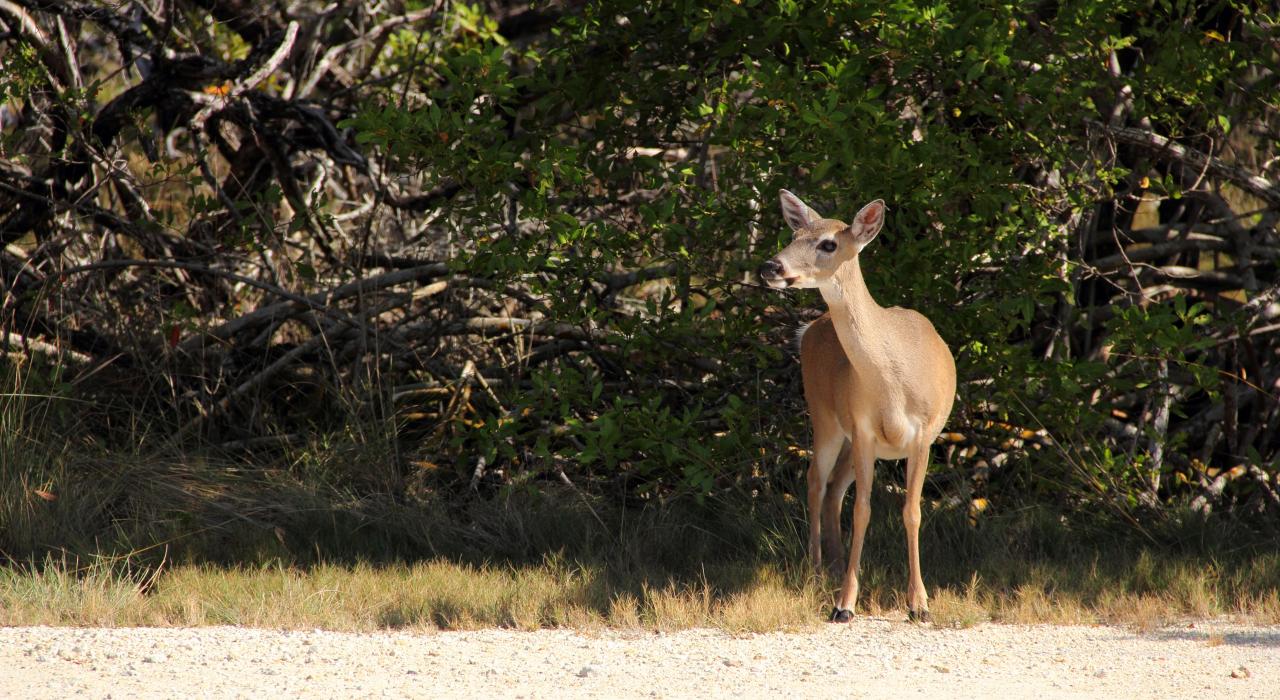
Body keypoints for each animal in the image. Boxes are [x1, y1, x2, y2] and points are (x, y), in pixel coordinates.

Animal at [757, 190, 956, 623]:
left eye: (828, 244)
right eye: (794, 234)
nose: (771, 266)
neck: (893, 383)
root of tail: (809, 328)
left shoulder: (922, 434)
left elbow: (911, 510)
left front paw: (919, 605)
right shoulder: (863, 428)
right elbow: (863, 510)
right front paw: (844, 604)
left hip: (848, 437)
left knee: (833, 488)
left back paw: (832, 564)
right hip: (824, 416)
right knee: (816, 481)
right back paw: (817, 568)